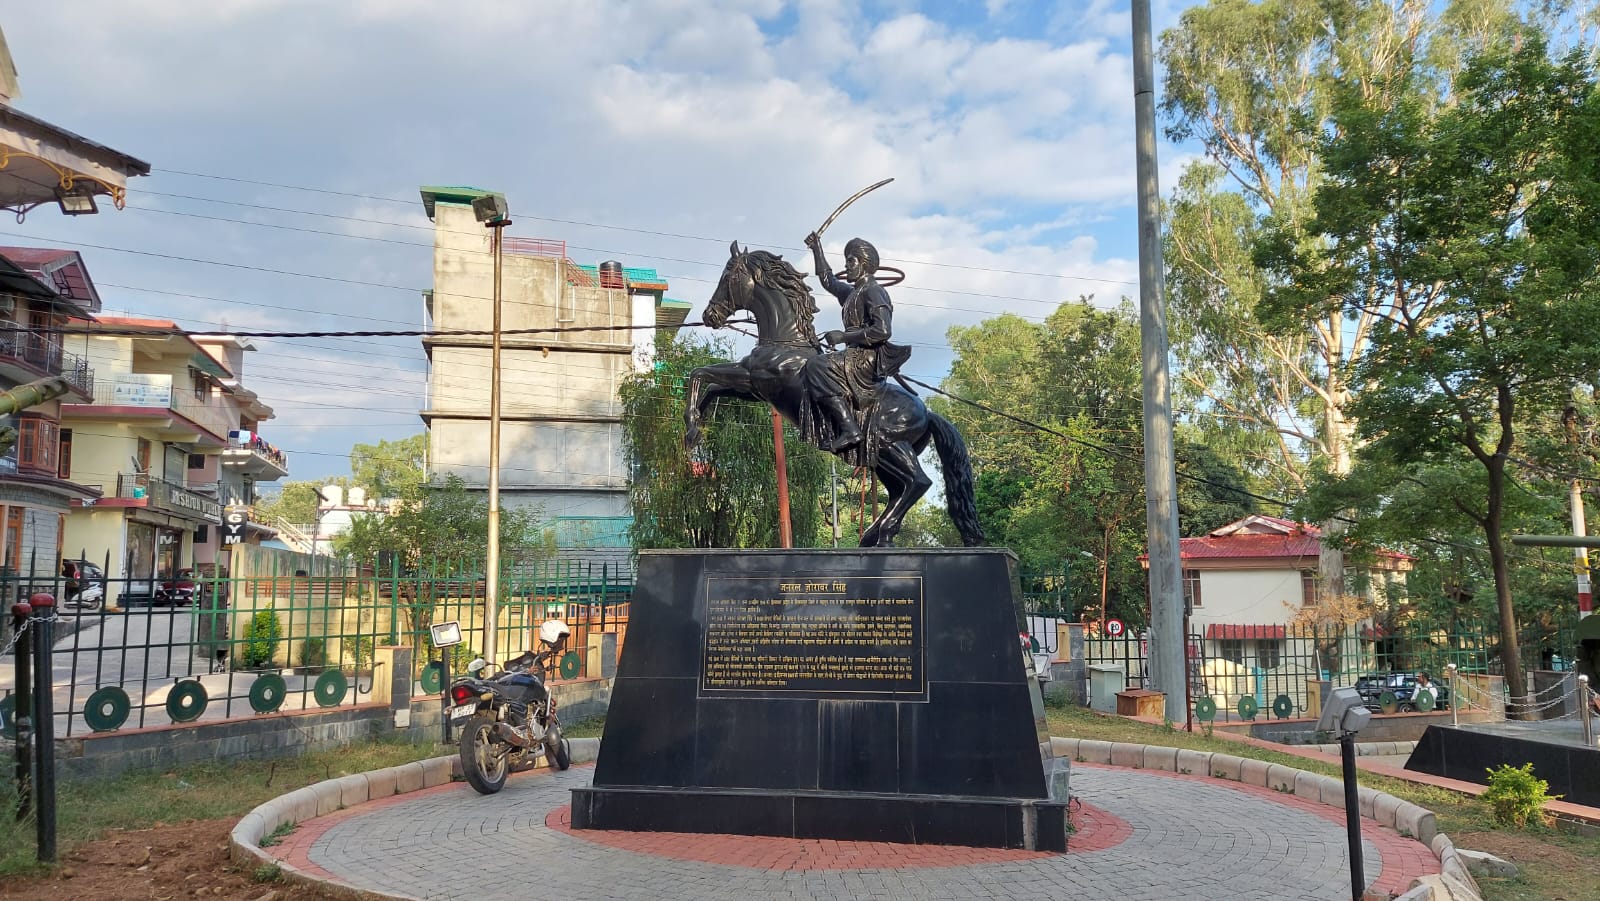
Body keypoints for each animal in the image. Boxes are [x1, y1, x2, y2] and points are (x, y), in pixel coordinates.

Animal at [688, 241, 985, 550]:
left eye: (728, 276)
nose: (710, 316)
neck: (786, 342)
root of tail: (927, 412)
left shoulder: (754, 380)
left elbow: (701, 374)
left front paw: (692, 429)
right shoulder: (751, 386)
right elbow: (707, 382)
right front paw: (694, 430)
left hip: (891, 447)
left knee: (917, 483)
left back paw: (883, 532)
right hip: (882, 457)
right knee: (898, 489)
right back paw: (874, 535)